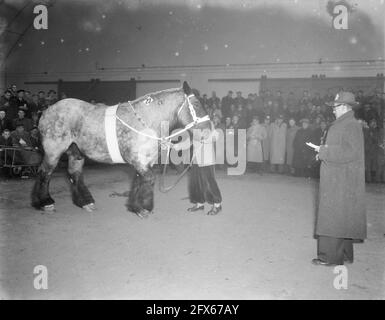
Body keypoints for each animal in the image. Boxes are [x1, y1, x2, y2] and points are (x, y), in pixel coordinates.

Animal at [31, 81, 208, 219]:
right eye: (196, 105)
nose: (208, 129)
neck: (146, 120)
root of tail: (46, 111)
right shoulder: (137, 160)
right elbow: (149, 179)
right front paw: (144, 207)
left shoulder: (144, 162)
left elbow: (139, 180)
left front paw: (134, 206)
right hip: (53, 152)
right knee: (45, 172)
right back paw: (45, 203)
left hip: (76, 153)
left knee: (74, 174)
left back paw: (85, 203)